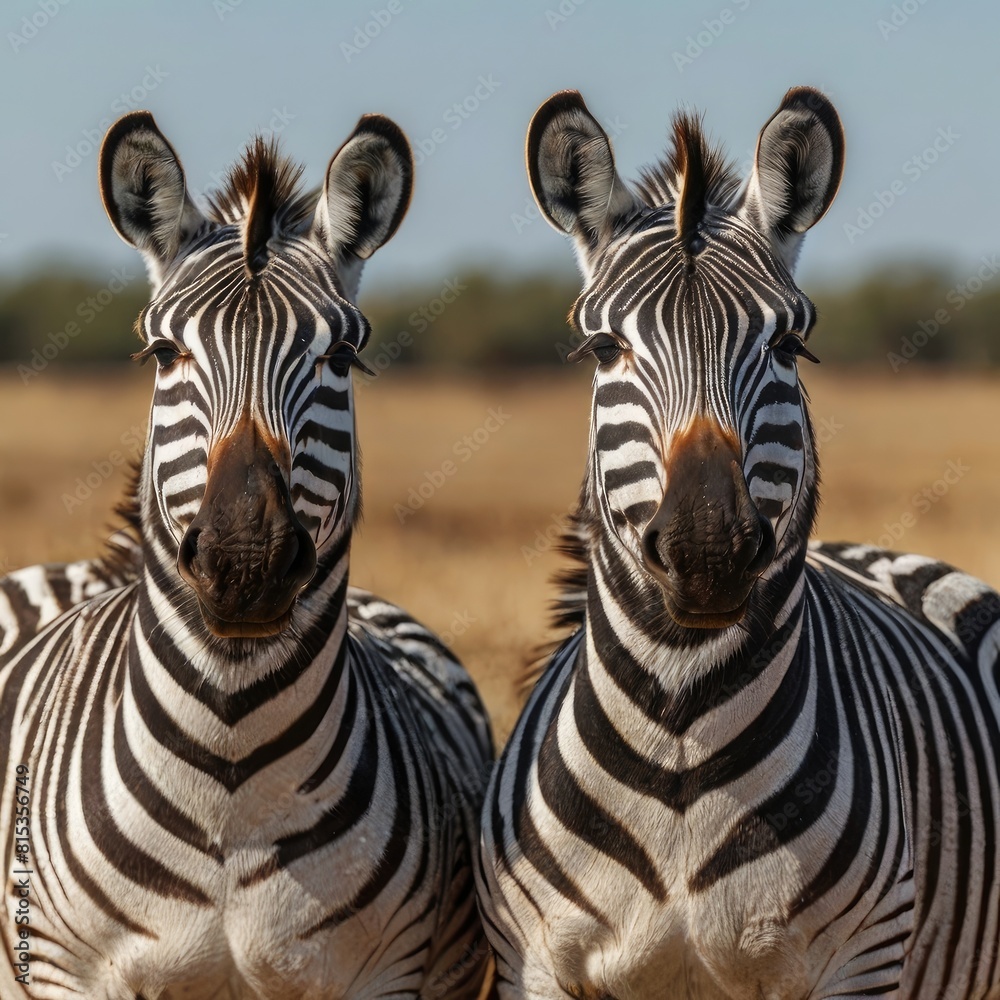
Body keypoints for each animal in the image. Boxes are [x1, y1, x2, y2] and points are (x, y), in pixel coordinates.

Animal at [0, 110, 493, 999]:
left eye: (342, 358)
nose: (244, 563)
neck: (228, 784)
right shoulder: (63, 972)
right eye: (164, 354)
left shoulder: (385, 973)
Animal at [477, 87, 1000, 999]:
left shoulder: (861, 961)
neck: (681, 735)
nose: (706, 551)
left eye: (788, 344)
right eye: (604, 348)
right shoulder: (533, 964)